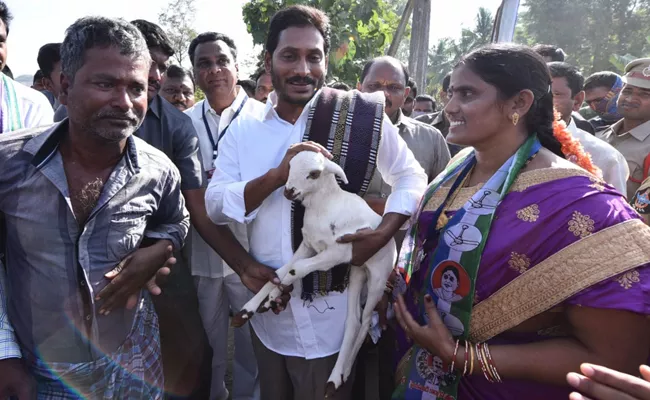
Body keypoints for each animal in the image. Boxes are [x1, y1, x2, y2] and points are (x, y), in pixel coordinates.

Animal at [233, 152, 394, 396]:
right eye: (289, 166)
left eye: (314, 174)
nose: (288, 191)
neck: (325, 206)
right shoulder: (308, 245)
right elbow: (280, 271)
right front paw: (253, 307)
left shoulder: (337, 253)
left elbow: (296, 269)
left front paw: (273, 296)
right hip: (358, 271)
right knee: (353, 321)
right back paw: (337, 377)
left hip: (377, 278)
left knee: (366, 321)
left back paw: (339, 375)